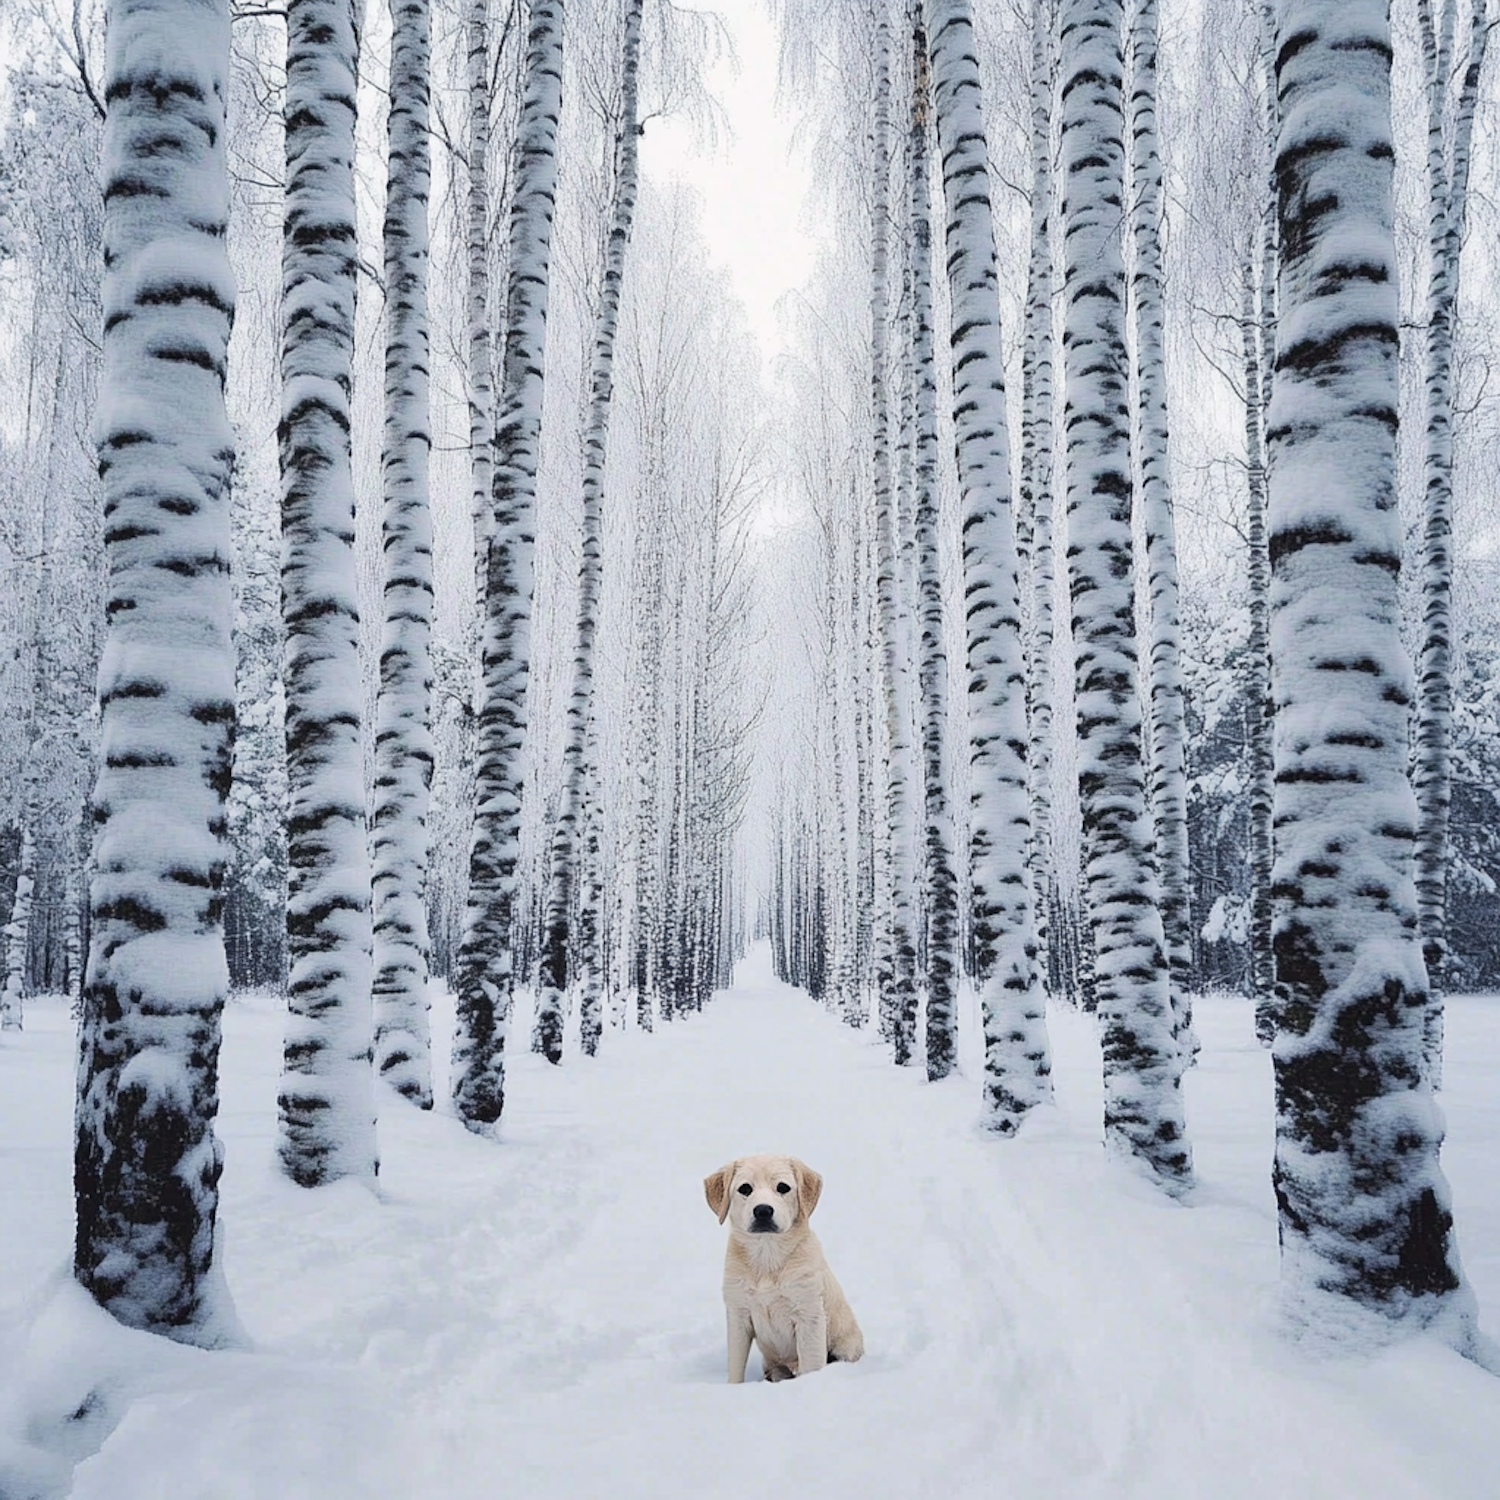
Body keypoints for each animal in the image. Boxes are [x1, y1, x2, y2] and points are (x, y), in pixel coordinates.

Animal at [705, 1152, 870, 1386]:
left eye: (783, 1187)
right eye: (745, 1189)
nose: (763, 1210)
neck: (767, 1256)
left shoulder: (808, 1315)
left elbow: (811, 1364)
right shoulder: (738, 1315)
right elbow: (735, 1366)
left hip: (845, 1347)